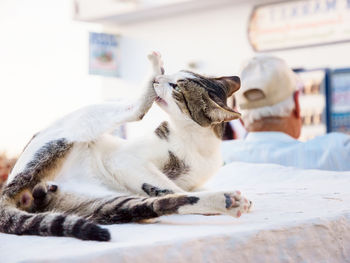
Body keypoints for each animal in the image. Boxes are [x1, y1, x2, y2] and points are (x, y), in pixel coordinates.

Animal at [0, 51, 252, 241]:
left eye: (176, 87)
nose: (159, 80)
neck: (196, 144)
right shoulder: (125, 160)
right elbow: (169, 185)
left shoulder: (192, 182)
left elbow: (186, 189)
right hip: (78, 124)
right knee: (134, 111)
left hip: (104, 203)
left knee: (158, 204)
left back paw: (228, 202)